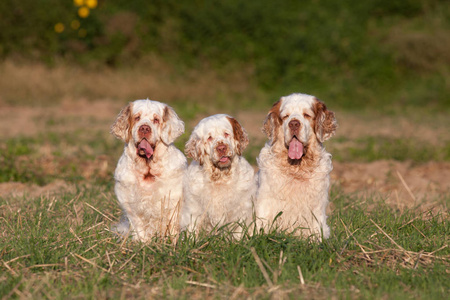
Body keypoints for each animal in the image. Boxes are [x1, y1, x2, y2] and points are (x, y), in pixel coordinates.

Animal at [110, 99, 186, 243]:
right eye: (137, 118)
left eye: (156, 119)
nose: (144, 128)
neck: (147, 170)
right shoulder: (130, 205)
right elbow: (139, 228)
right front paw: (142, 243)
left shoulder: (173, 202)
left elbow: (172, 227)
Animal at [256, 92, 338, 240]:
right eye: (285, 116)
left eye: (306, 115)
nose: (294, 123)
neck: (296, 168)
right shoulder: (266, 202)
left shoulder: (316, 208)